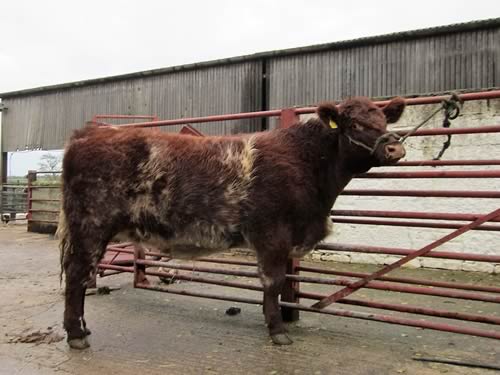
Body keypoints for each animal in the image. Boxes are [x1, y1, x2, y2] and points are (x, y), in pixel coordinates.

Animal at [57, 96, 406, 350]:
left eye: (384, 120)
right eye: (356, 124)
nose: (395, 147)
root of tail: (91, 133)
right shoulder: (273, 234)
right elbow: (273, 282)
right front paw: (277, 330)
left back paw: (82, 329)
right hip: (91, 225)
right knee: (77, 274)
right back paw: (76, 335)